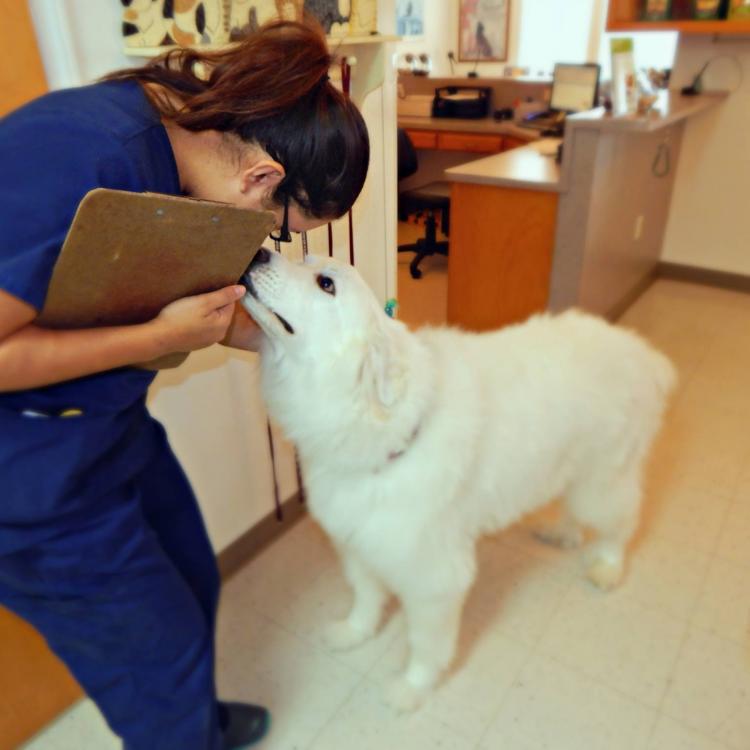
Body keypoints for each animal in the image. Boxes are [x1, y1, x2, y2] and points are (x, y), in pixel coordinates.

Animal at [241, 248, 676, 712]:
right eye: (304, 258)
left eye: (326, 283)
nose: (260, 252)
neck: (379, 422)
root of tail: (643, 353)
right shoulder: (358, 541)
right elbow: (365, 598)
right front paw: (353, 633)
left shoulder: (434, 577)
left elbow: (424, 645)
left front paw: (411, 688)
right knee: (576, 517)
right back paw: (561, 534)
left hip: (603, 480)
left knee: (621, 525)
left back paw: (607, 568)